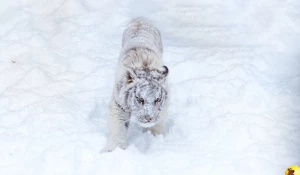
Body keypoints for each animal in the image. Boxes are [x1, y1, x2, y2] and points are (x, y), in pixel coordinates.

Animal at [102, 17, 169, 152]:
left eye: (157, 99)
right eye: (140, 99)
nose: (149, 117)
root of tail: (140, 19)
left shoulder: (163, 106)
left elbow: (157, 122)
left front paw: (154, 137)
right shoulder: (119, 105)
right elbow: (119, 128)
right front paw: (114, 150)